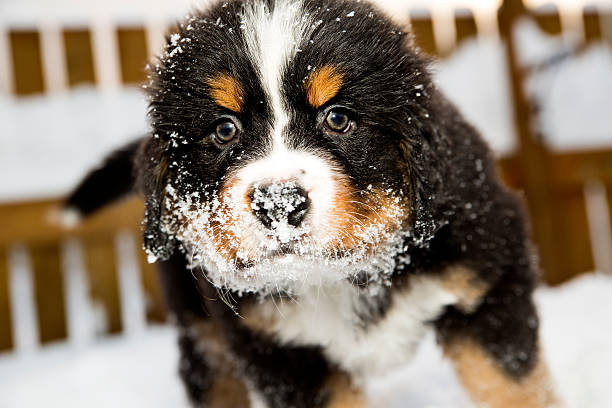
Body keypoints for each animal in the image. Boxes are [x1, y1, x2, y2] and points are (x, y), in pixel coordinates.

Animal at [65, 0, 560, 406]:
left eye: (337, 118)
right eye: (224, 130)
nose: (278, 203)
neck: (335, 275)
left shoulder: (488, 278)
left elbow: (512, 387)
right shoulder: (282, 351)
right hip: (198, 321)